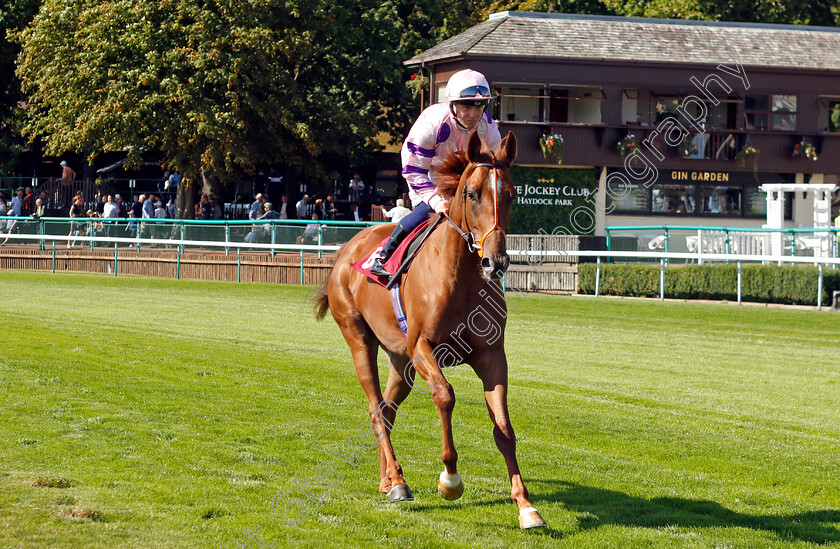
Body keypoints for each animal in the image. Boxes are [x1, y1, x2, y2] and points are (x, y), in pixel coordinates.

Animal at [314, 131, 544, 528]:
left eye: (511, 194)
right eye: (472, 193)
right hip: (359, 339)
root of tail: (346, 250)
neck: (462, 278)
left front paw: (525, 505)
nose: (495, 260)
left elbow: (504, 428)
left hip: (400, 360)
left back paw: (387, 479)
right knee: (376, 409)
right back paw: (398, 484)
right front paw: (450, 479)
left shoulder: (491, 355)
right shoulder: (423, 346)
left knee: (387, 410)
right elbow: (445, 395)